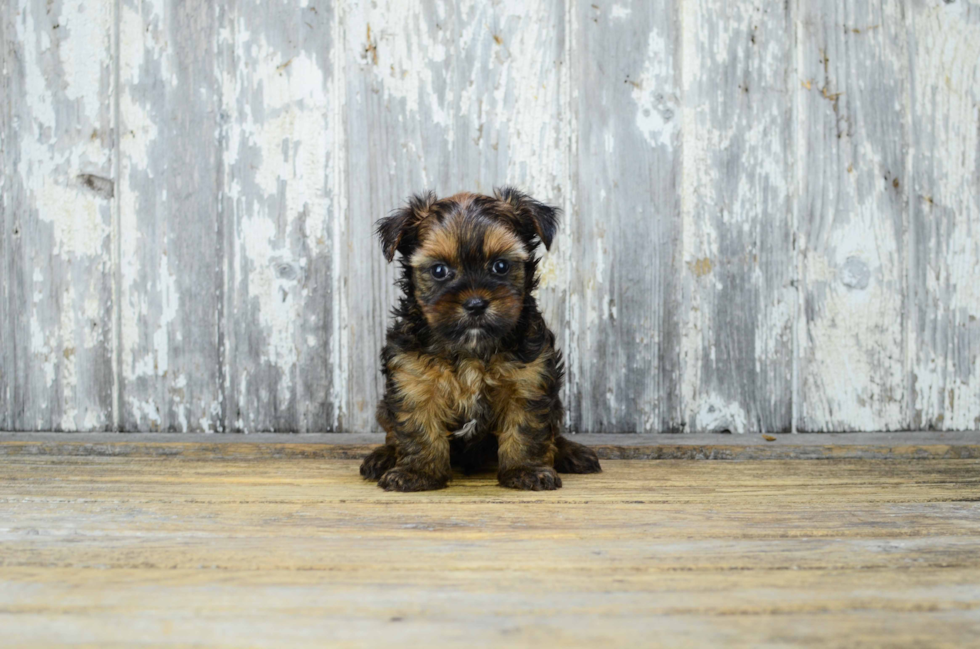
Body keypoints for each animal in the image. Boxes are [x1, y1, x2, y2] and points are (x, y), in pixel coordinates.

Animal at [360, 187, 600, 492]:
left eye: (500, 266)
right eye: (439, 270)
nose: (475, 304)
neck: (471, 349)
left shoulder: (529, 380)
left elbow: (527, 428)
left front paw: (526, 470)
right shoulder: (413, 379)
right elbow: (418, 426)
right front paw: (417, 472)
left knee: (554, 432)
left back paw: (570, 452)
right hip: (384, 407)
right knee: (391, 433)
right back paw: (383, 456)